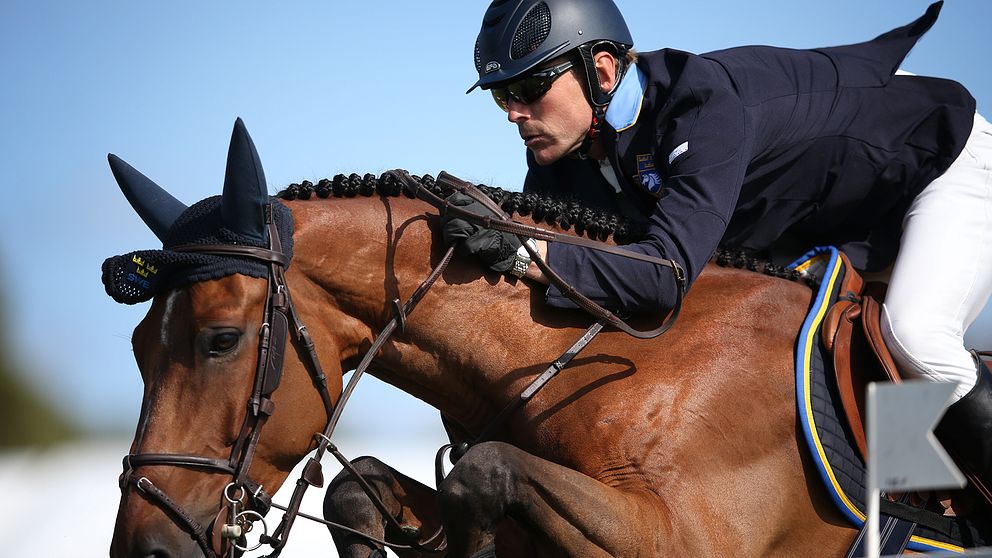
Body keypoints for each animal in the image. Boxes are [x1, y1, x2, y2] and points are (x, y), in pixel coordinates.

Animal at [106, 120, 852, 556]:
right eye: (138, 349)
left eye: (221, 340)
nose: (147, 550)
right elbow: (359, 487)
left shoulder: (690, 538)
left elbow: (484, 470)